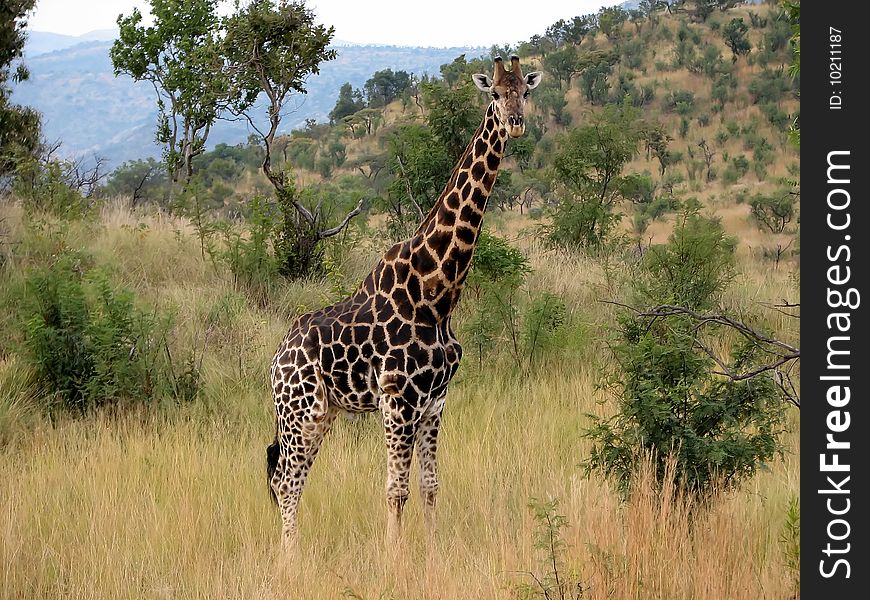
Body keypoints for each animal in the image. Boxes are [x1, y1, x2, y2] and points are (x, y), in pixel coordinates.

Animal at [266, 56, 540, 548]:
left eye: (525, 92)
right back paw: (288, 557)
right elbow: (396, 489)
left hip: (323, 413)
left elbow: (430, 486)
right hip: (301, 410)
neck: (439, 294)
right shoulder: (398, 399)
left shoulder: (435, 401)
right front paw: (394, 555)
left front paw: (431, 551)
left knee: (288, 477)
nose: (515, 122)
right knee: (285, 480)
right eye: (494, 94)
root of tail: (275, 359)